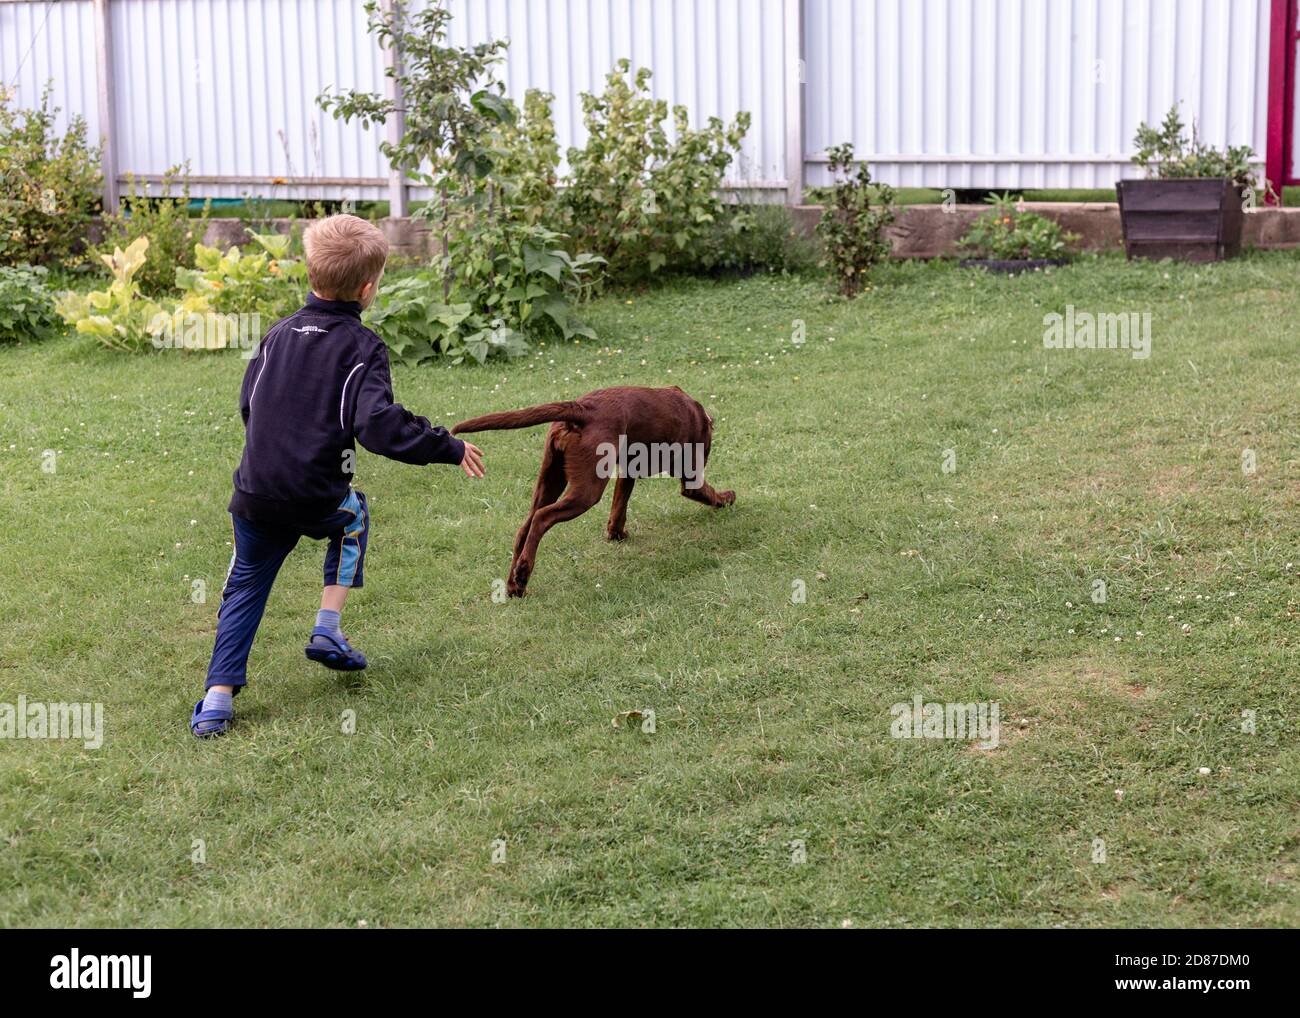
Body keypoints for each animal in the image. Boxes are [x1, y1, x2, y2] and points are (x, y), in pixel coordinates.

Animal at [449, 387, 733, 598]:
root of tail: (582, 408)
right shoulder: (691, 479)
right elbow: (708, 491)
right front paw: (728, 498)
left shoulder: (627, 471)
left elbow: (619, 508)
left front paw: (616, 534)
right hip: (587, 489)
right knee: (542, 519)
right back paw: (522, 574)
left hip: (551, 479)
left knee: (525, 527)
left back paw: (514, 586)